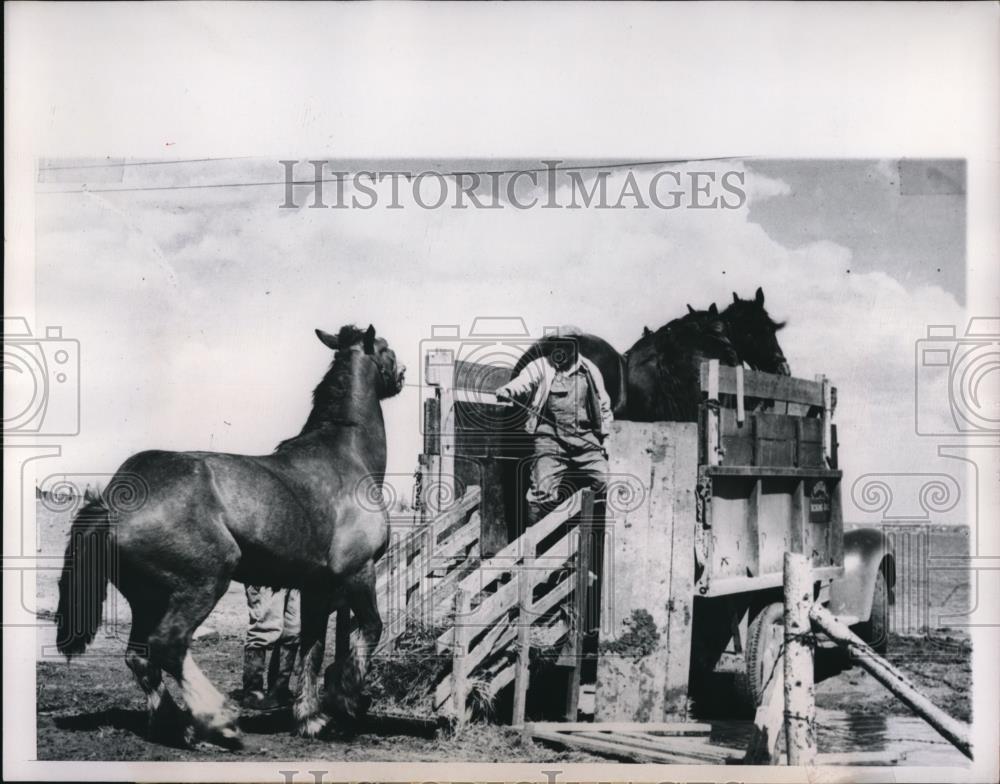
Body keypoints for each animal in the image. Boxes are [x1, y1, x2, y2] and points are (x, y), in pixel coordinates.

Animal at [54, 324, 404, 748]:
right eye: (385, 349)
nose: (401, 375)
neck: (345, 455)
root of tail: (114, 501)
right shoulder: (358, 573)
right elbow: (370, 629)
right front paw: (346, 697)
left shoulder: (316, 589)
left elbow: (312, 647)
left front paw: (310, 718)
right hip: (202, 584)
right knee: (168, 646)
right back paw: (219, 720)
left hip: (148, 598)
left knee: (140, 657)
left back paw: (178, 726)